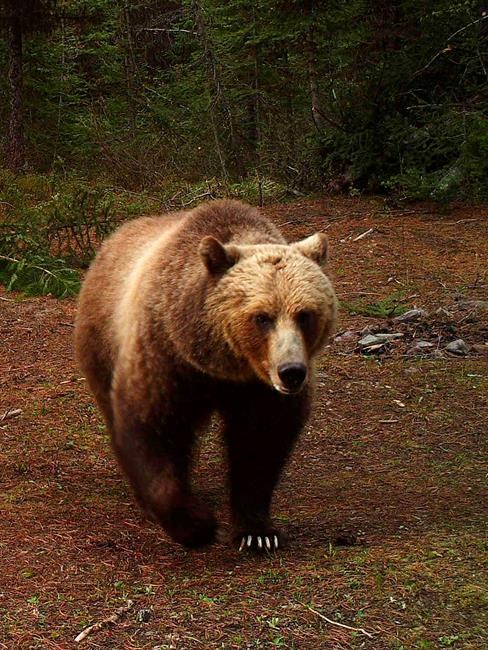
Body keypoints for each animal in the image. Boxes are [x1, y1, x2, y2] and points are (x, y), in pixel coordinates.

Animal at [74, 199, 337, 552]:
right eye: (262, 317)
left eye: (305, 314)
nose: (292, 372)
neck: (221, 364)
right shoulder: (166, 356)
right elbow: (149, 426)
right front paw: (196, 525)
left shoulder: (258, 390)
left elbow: (260, 441)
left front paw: (258, 532)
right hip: (102, 341)